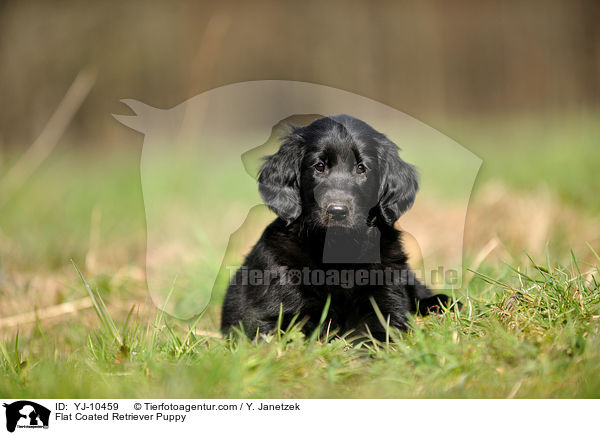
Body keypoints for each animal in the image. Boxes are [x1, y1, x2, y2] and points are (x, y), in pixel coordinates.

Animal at [221, 116, 454, 340]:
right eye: (319, 166)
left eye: (361, 168)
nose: (338, 211)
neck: (338, 250)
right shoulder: (273, 309)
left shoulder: (386, 296)